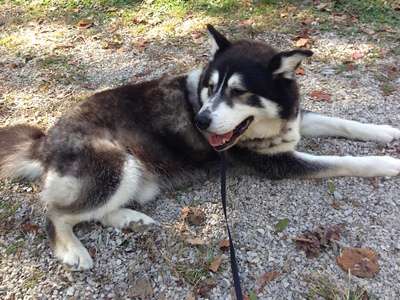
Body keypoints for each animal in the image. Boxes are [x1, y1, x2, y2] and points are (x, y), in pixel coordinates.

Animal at [0, 25, 400, 270]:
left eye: (239, 92)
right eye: (211, 87)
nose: (201, 121)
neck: (267, 127)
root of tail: (46, 139)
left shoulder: (295, 122)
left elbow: (341, 123)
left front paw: (386, 131)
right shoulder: (278, 164)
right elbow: (342, 160)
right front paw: (388, 164)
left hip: (135, 178)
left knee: (96, 211)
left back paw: (131, 220)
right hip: (116, 164)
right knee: (56, 213)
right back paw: (72, 249)